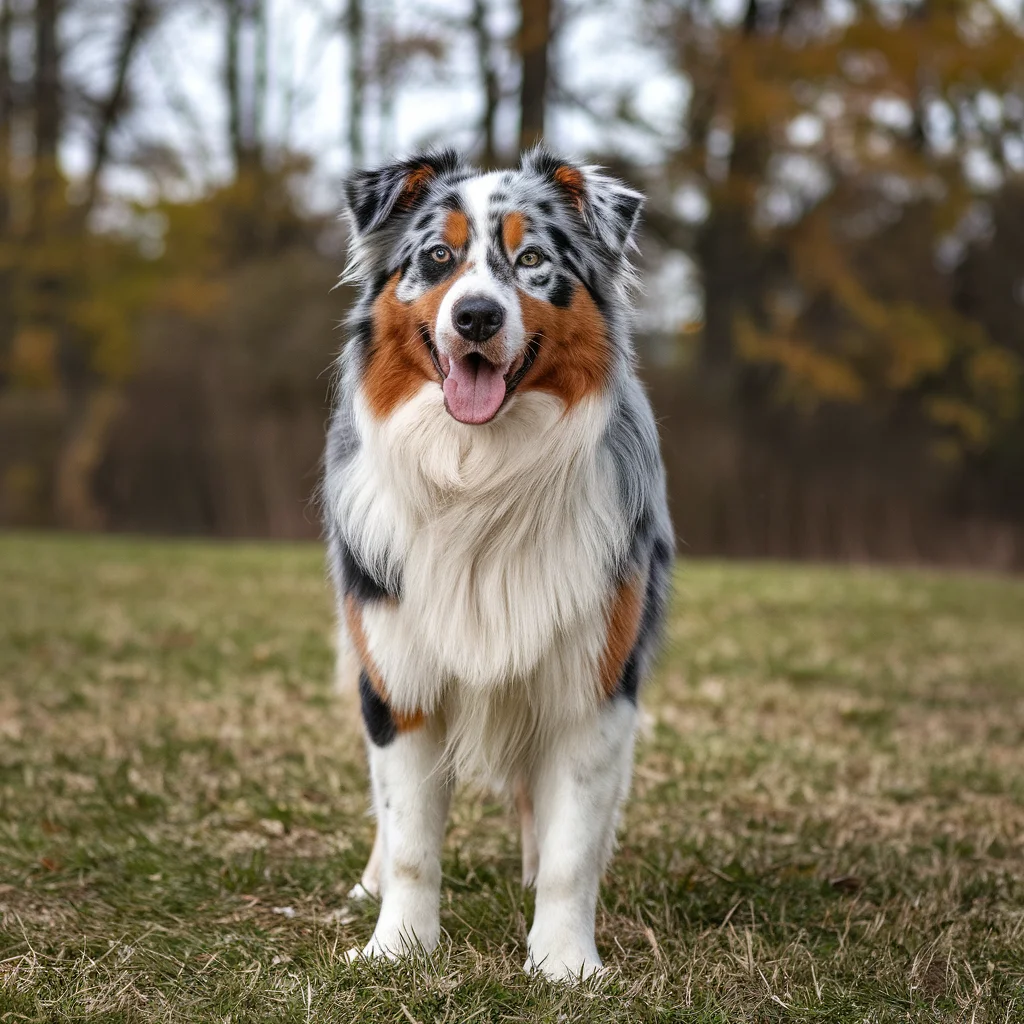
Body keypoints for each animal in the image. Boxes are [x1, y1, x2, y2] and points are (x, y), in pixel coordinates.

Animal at [321, 148, 671, 978]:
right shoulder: (398, 677)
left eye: (533, 259)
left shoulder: (594, 683)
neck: (478, 474)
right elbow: (410, 839)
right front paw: (398, 949)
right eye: (437, 258)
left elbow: (573, 847)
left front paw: (565, 964)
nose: (476, 316)